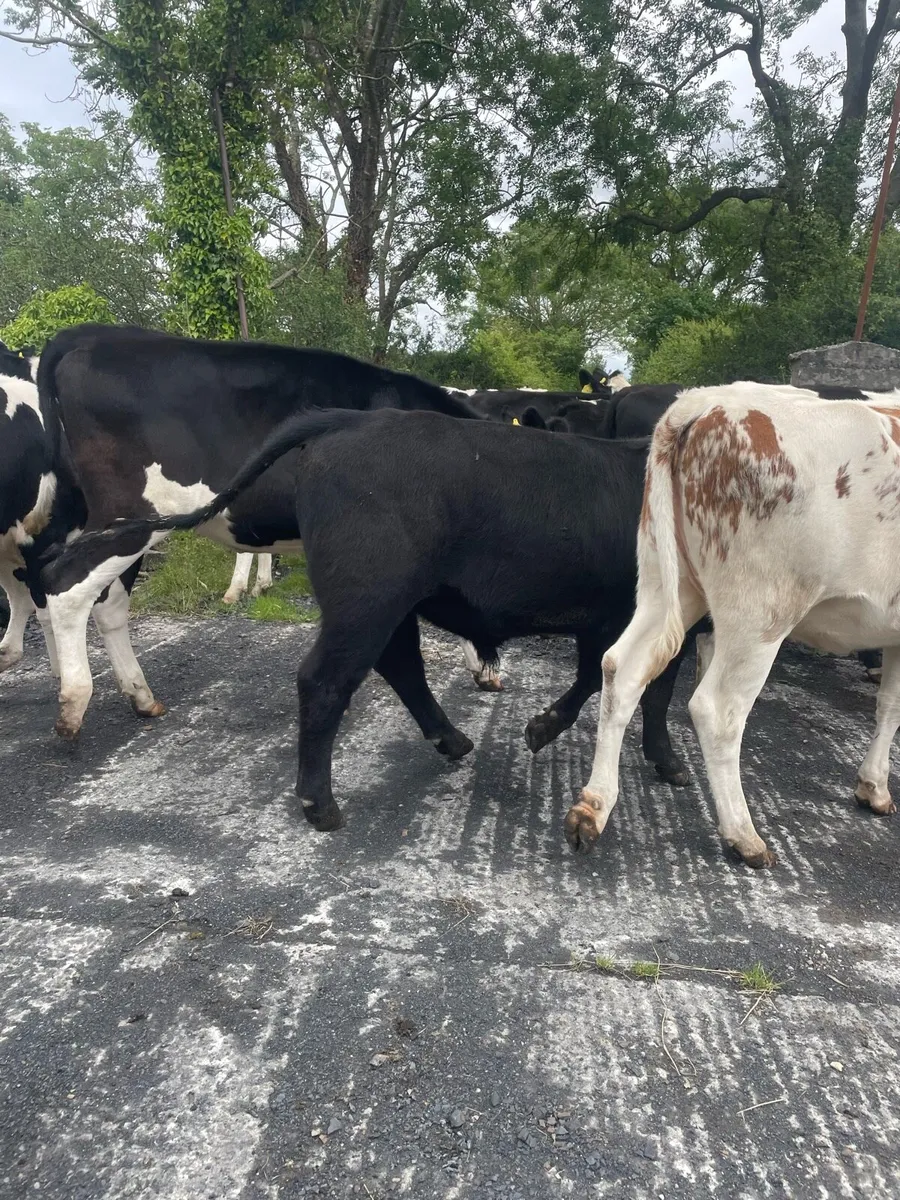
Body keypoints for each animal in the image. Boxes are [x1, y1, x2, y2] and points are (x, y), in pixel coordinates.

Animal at [32, 324, 484, 738]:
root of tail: (99, 335)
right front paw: (482, 664)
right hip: (127, 516)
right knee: (66, 586)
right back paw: (73, 705)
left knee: (107, 602)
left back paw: (141, 697)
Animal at [45, 407, 704, 831]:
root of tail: (349, 421)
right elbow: (642, 689)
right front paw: (665, 761)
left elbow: (613, 680)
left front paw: (553, 730)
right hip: (369, 596)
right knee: (327, 680)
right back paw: (320, 804)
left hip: (388, 599)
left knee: (400, 663)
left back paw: (450, 738)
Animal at [566, 381, 900, 868]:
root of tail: (702, 401)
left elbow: (889, 705)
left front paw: (873, 786)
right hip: (761, 610)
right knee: (718, 710)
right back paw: (743, 835)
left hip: (667, 582)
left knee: (621, 669)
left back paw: (593, 807)